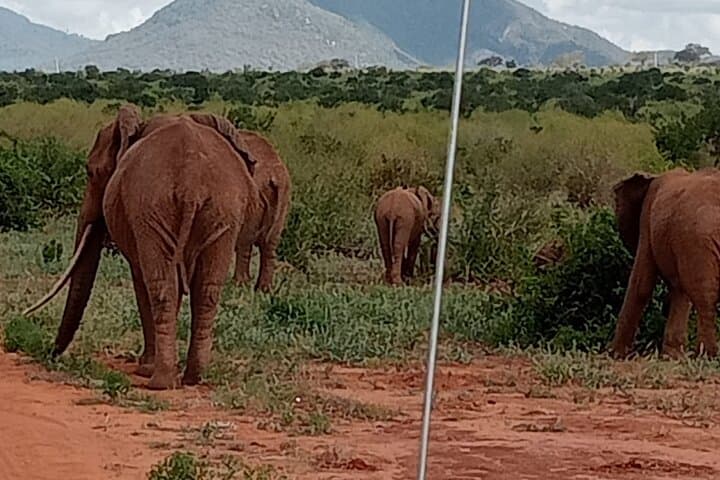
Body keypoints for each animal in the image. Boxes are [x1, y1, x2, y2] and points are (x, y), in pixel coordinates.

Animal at [24, 105, 263, 390]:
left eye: (89, 172)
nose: (50, 354)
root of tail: (191, 180)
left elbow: (141, 281)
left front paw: (144, 368)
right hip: (221, 211)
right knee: (206, 290)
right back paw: (192, 377)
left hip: (155, 208)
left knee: (161, 288)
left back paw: (160, 381)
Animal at [611, 167, 720, 359]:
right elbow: (679, 291)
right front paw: (673, 356)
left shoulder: (646, 217)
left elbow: (641, 284)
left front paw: (614, 354)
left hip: (697, 238)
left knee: (705, 296)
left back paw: (707, 355)